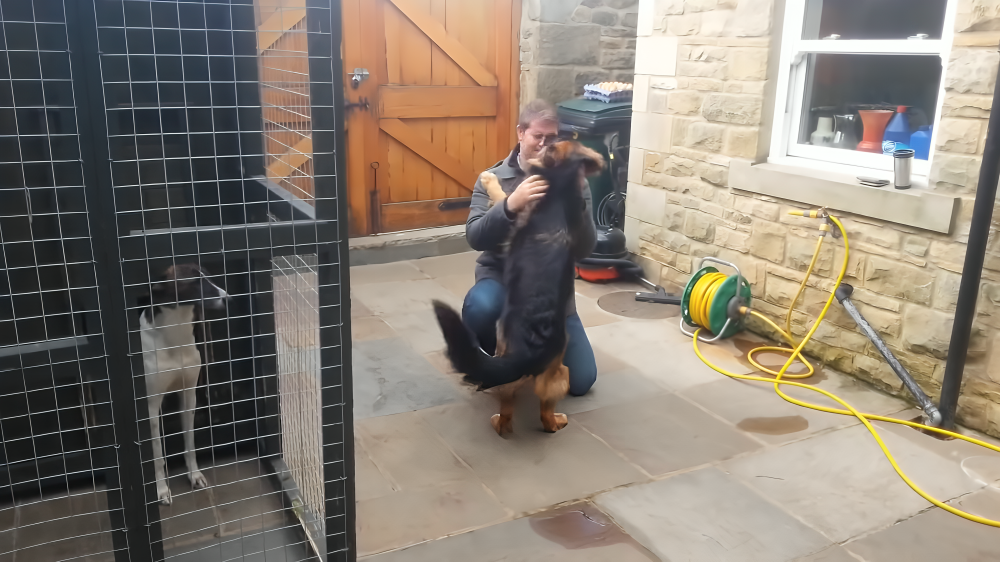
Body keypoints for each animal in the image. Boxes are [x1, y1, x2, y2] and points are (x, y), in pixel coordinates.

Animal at [139, 263, 228, 505]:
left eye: (208, 277)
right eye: (194, 282)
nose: (228, 298)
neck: (174, 337)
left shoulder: (189, 395)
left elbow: (190, 443)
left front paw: (194, 475)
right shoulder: (151, 406)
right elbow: (157, 455)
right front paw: (161, 489)